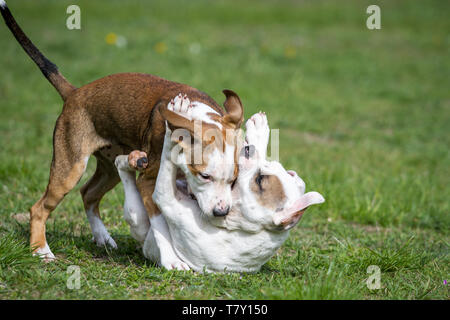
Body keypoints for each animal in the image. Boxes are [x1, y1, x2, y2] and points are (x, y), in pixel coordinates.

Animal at [0, 0, 243, 262]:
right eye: (204, 176)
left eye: (234, 180)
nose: (221, 212)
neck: (194, 114)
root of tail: (74, 93)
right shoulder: (148, 181)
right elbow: (159, 221)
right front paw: (171, 259)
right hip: (70, 168)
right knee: (40, 207)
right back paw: (41, 250)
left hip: (110, 169)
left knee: (88, 193)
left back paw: (102, 237)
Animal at [114, 101, 326, 272]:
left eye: (260, 180)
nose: (248, 149)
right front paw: (259, 130)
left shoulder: (166, 198)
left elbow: (168, 156)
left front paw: (178, 113)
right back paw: (133, 158)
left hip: (137, 217)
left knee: (127, 179)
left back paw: (127, 161)